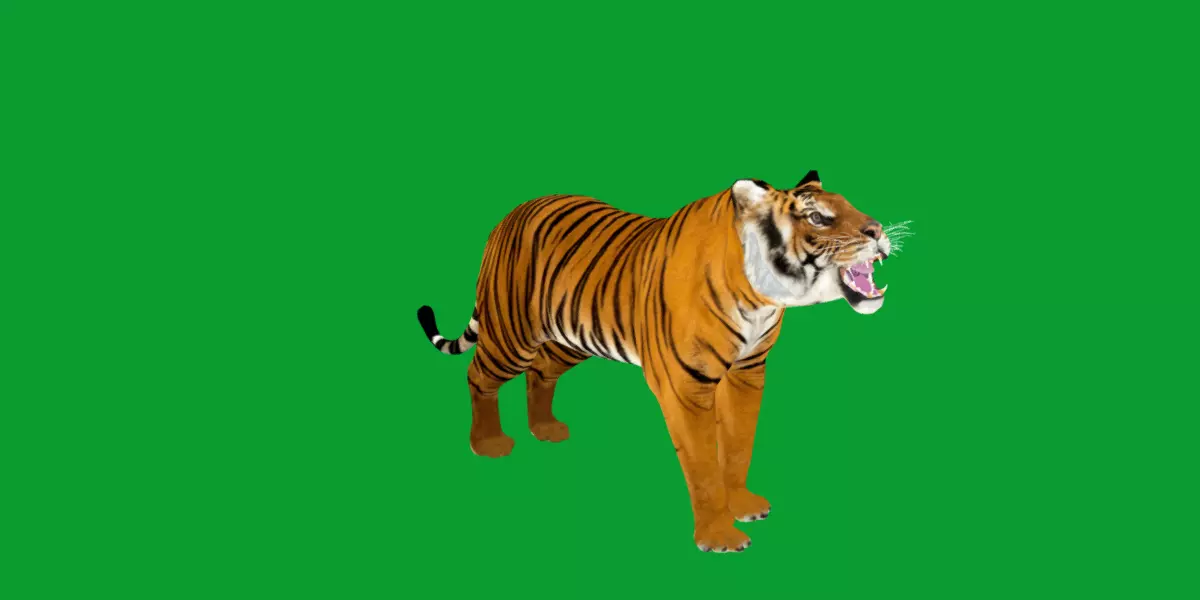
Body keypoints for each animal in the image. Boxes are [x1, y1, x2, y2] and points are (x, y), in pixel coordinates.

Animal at [416, 170, 898, 553]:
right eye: (817, 218)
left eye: (850, 204)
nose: (877, 231)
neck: (760, 297)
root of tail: (512, 212)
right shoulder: (687, 385)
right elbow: (703, 465)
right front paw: (719, 537)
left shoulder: (748, 373)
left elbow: (739, 444)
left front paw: (743, 505)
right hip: (512, 334)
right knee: (478, 375)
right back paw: (488, 443)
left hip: (569, 339)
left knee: (540, 373)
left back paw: (546, 429)